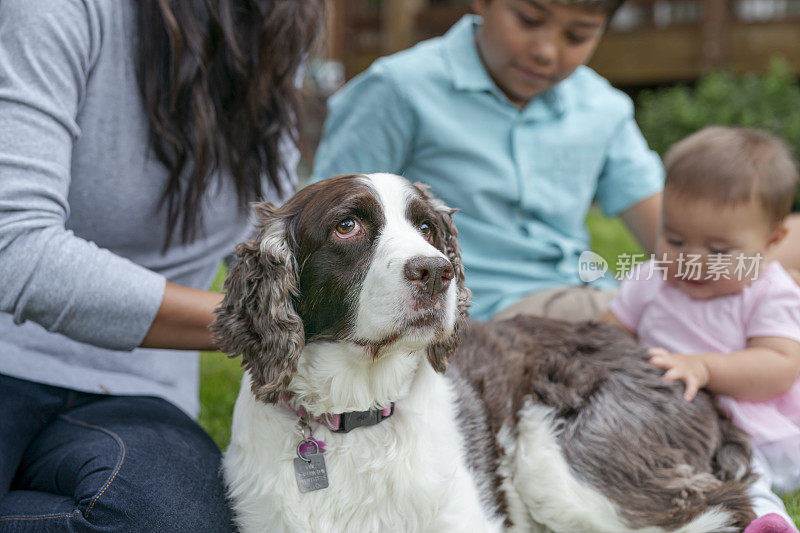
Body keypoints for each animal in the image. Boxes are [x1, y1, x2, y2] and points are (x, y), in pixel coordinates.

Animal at [211, 175, 756, 532]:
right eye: (347, 226)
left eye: (427, 229)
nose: (437, 271)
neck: (358, 416)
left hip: (564, 460)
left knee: (720, 507)